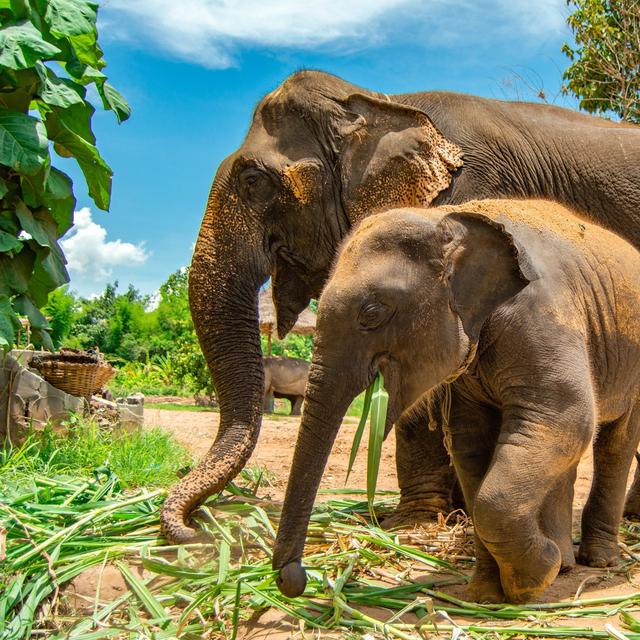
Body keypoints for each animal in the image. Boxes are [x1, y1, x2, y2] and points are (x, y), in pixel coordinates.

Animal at [160, 69, 640, 544]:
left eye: (253, 181)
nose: (195, 529)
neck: (379, 102)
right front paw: (443, 516)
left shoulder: (473, 192)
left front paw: (415, 522)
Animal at [272, 199, 640, 604]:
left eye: (372, 313)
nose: (295, 578)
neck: (448, 218)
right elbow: (470, 440)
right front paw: (486, 595)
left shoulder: (541, 316)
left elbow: (567, 416)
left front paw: (536, 577)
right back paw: (566, 563)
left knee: (615, 442)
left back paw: (597, 561)